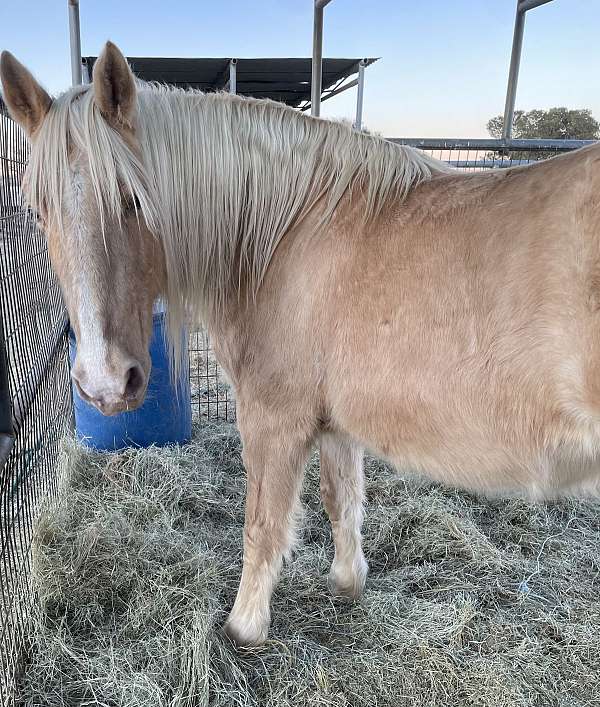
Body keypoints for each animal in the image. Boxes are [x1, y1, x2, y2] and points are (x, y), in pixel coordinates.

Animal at [1, 41, 600, 644]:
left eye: (131, 200)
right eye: (39, 208)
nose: (104, 384)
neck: (285, 233)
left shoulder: (273, 418)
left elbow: (263, 524)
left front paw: (244, 626)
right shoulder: (337, 420)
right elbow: (343, 500)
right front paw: (347, 584)